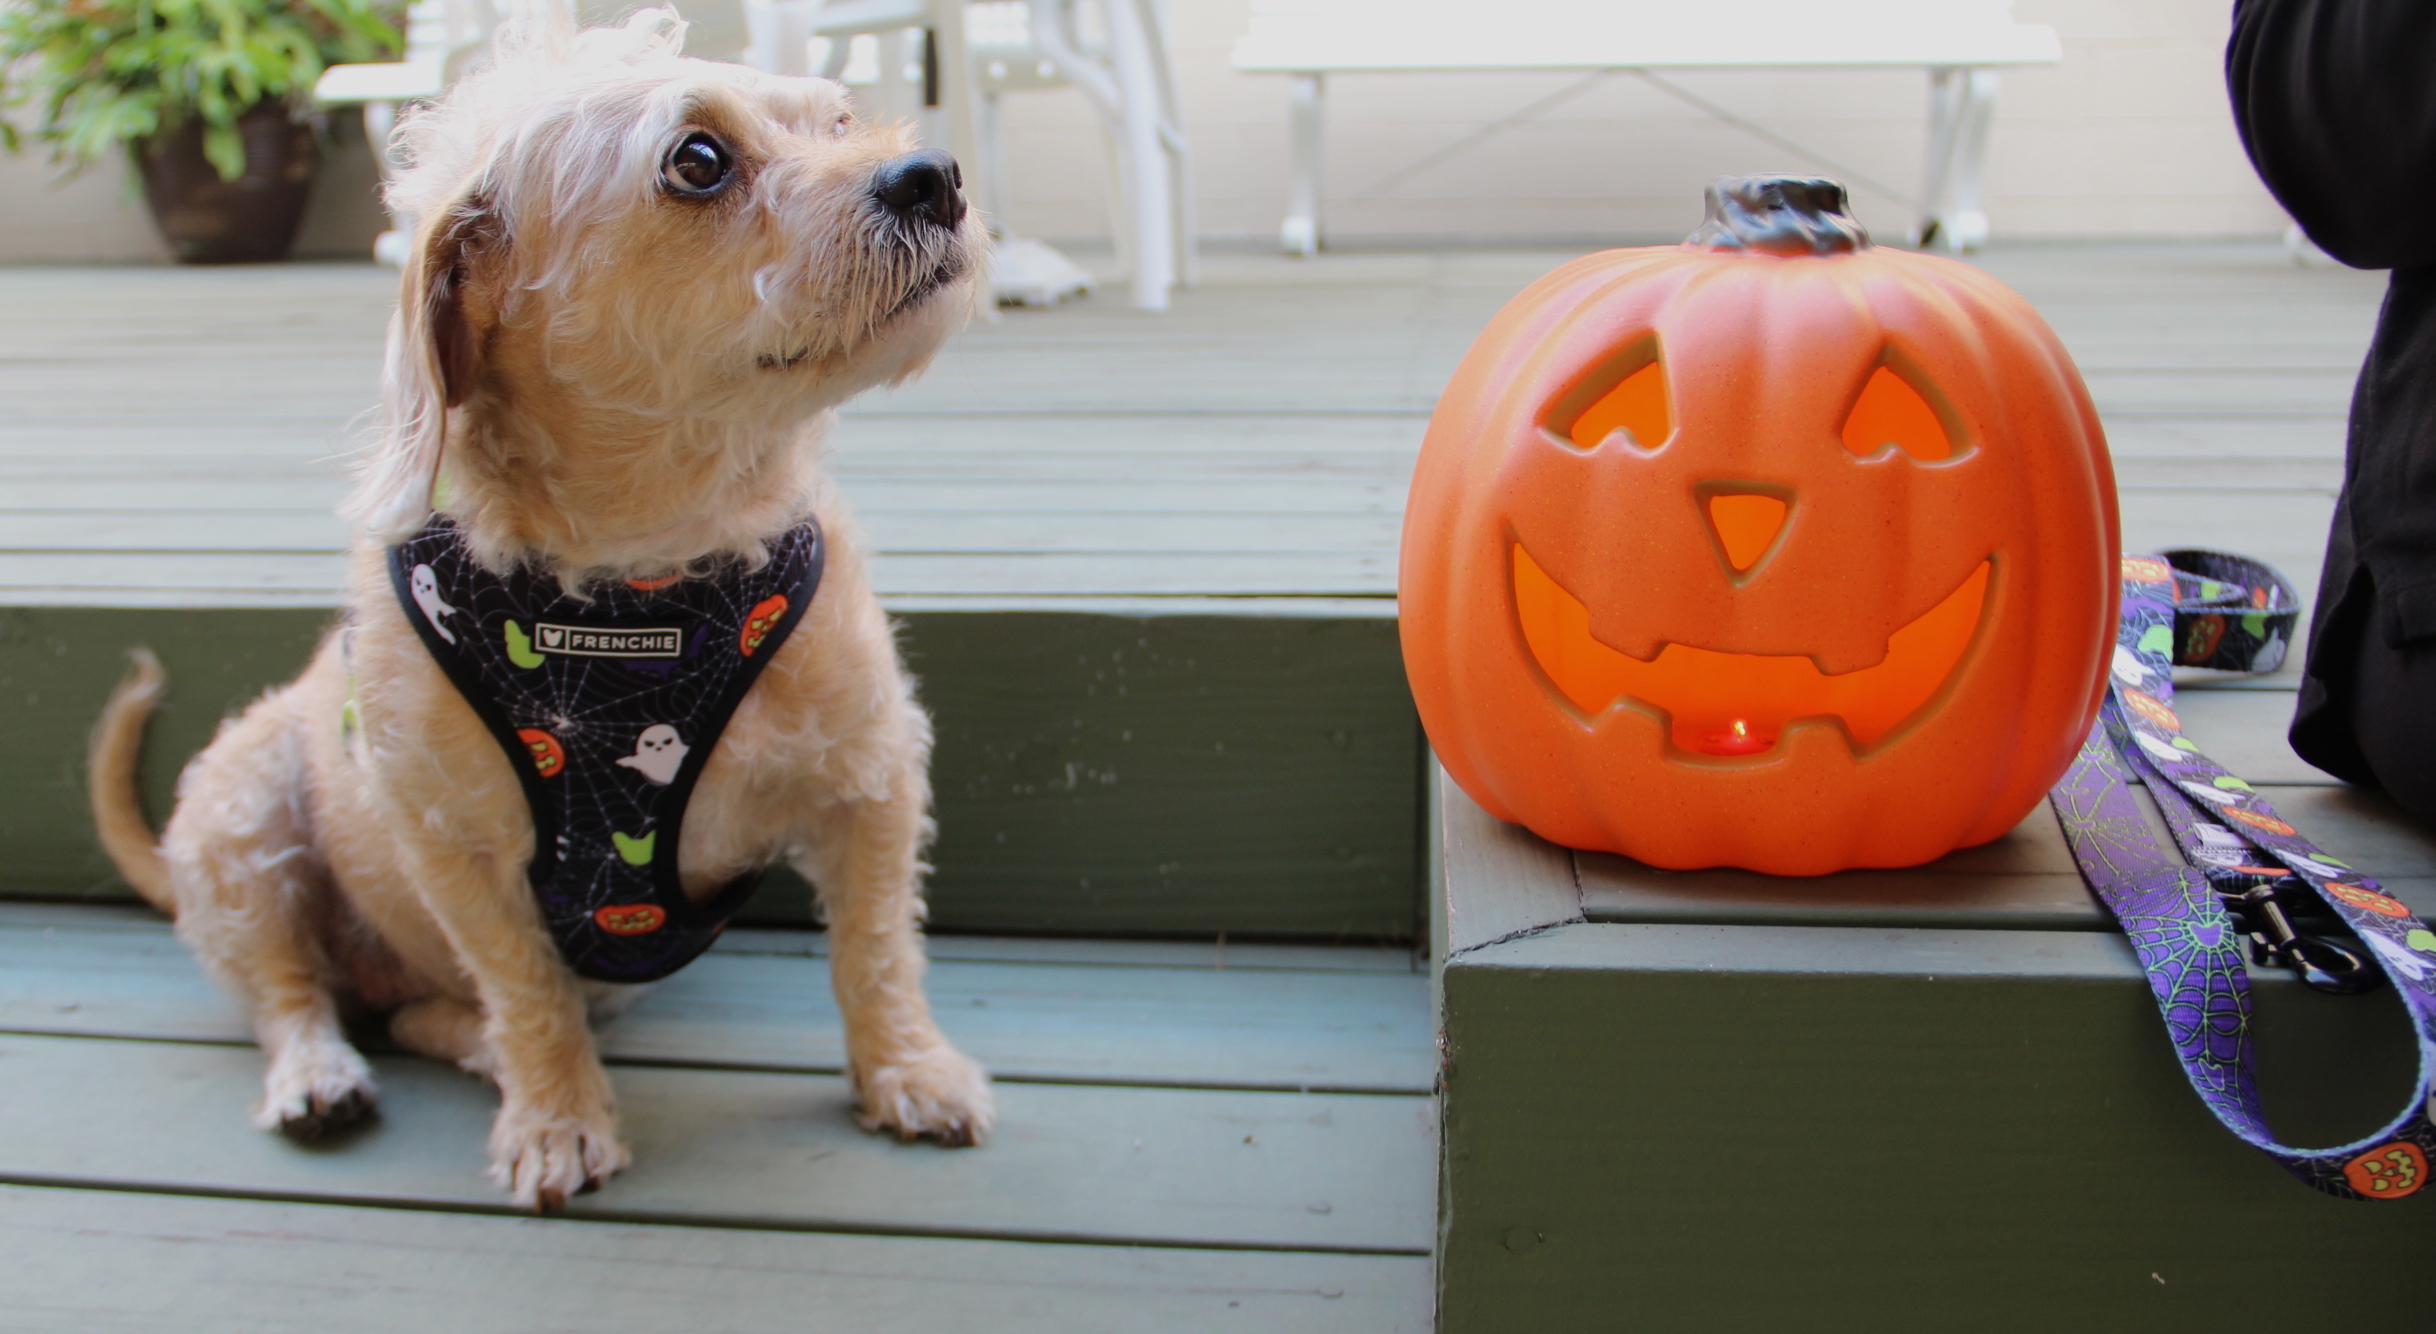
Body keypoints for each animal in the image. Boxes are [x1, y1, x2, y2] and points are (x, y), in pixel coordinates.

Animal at [85, 7, 993, 1207]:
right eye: (697, 160)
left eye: (838, 120)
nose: (936, 174)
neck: (646, 580)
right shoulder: (452, 848)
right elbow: (524, 988)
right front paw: (557, 1117)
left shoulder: (873, 780)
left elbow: (877, 950)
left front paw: (907, 1069)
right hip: (241, 816)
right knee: (296, 993)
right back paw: (324, 1072)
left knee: (419, 1016)